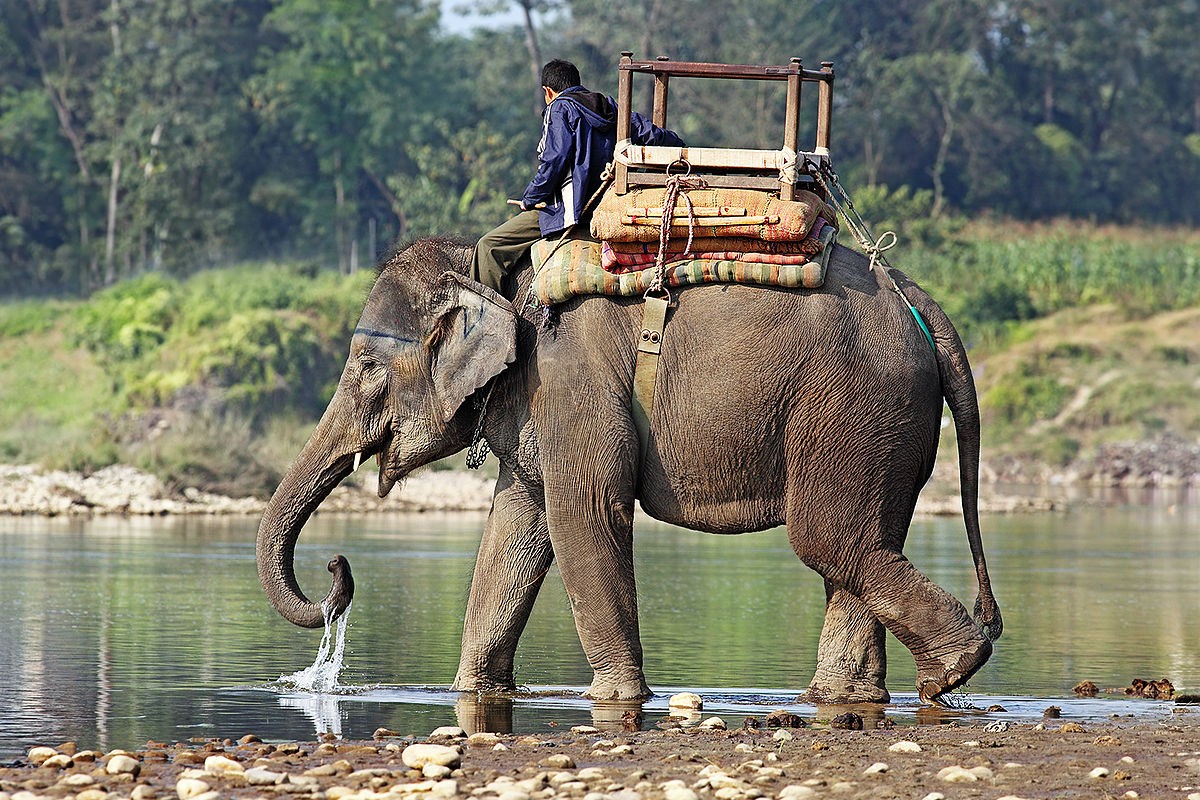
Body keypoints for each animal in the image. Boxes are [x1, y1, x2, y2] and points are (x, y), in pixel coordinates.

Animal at [258, 236, 998, 705]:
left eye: (366, 367)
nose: (336, 565)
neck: (488, 273)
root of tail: (921, 302)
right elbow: (519, 528)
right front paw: (471, 691)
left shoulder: (567, 378)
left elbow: (583, 513)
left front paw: (616, 699)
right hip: (884, 424)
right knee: (862, 541)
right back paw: (847, 695)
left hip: (857, 405)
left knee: (830, 540)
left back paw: (950, 674)